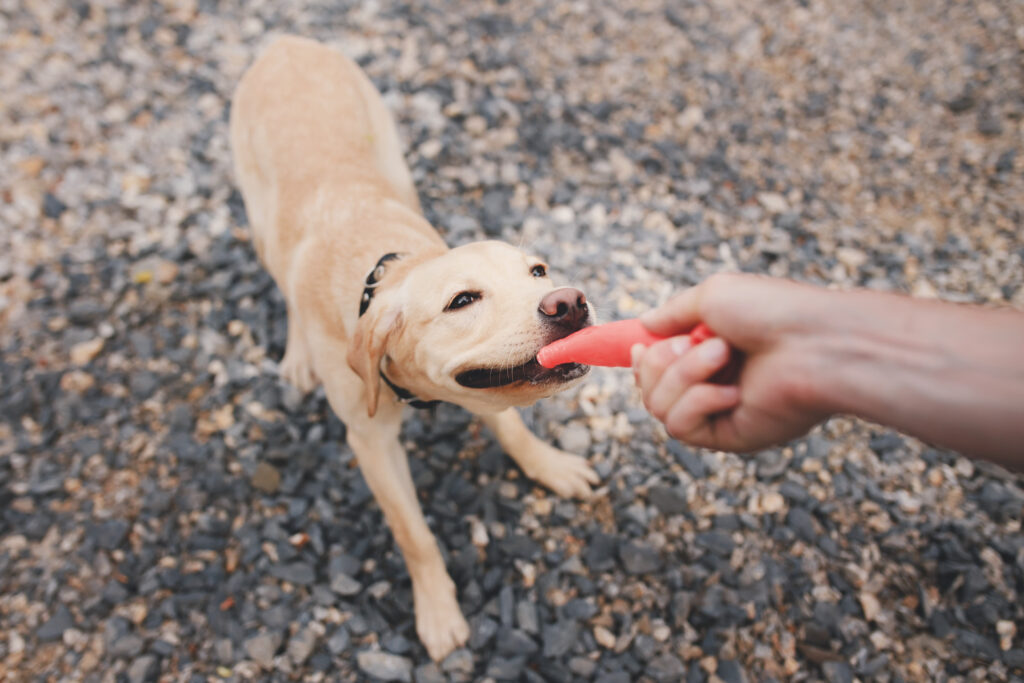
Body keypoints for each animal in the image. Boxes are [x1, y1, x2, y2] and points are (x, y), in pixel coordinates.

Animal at [232, 37, 598, 663]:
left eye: (538, 270)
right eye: (462, 300)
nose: (569, 303)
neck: (385, 269)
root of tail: (286, 42)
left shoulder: (484, 390)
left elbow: (515, 430)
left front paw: (549, 464)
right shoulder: (371, 443)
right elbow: (414, 535)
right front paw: (438, 611)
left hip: (395, 163)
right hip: (257, 220)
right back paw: (297, 354)